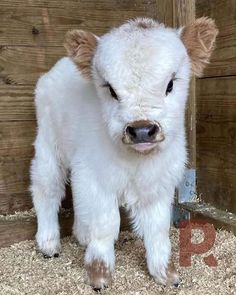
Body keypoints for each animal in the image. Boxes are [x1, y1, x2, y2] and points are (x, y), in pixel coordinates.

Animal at [30, 17, 218, 290]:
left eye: (171, 84)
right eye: (110, 89)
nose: (142, 130)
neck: (137, 160)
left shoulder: (158, 184)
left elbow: (157, 229)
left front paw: (166, 274)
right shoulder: (97, 179)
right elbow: (106, 224)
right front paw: (99, 275)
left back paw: (80, 235)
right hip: (48, 147)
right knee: (46, 190)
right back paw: (49, 243)